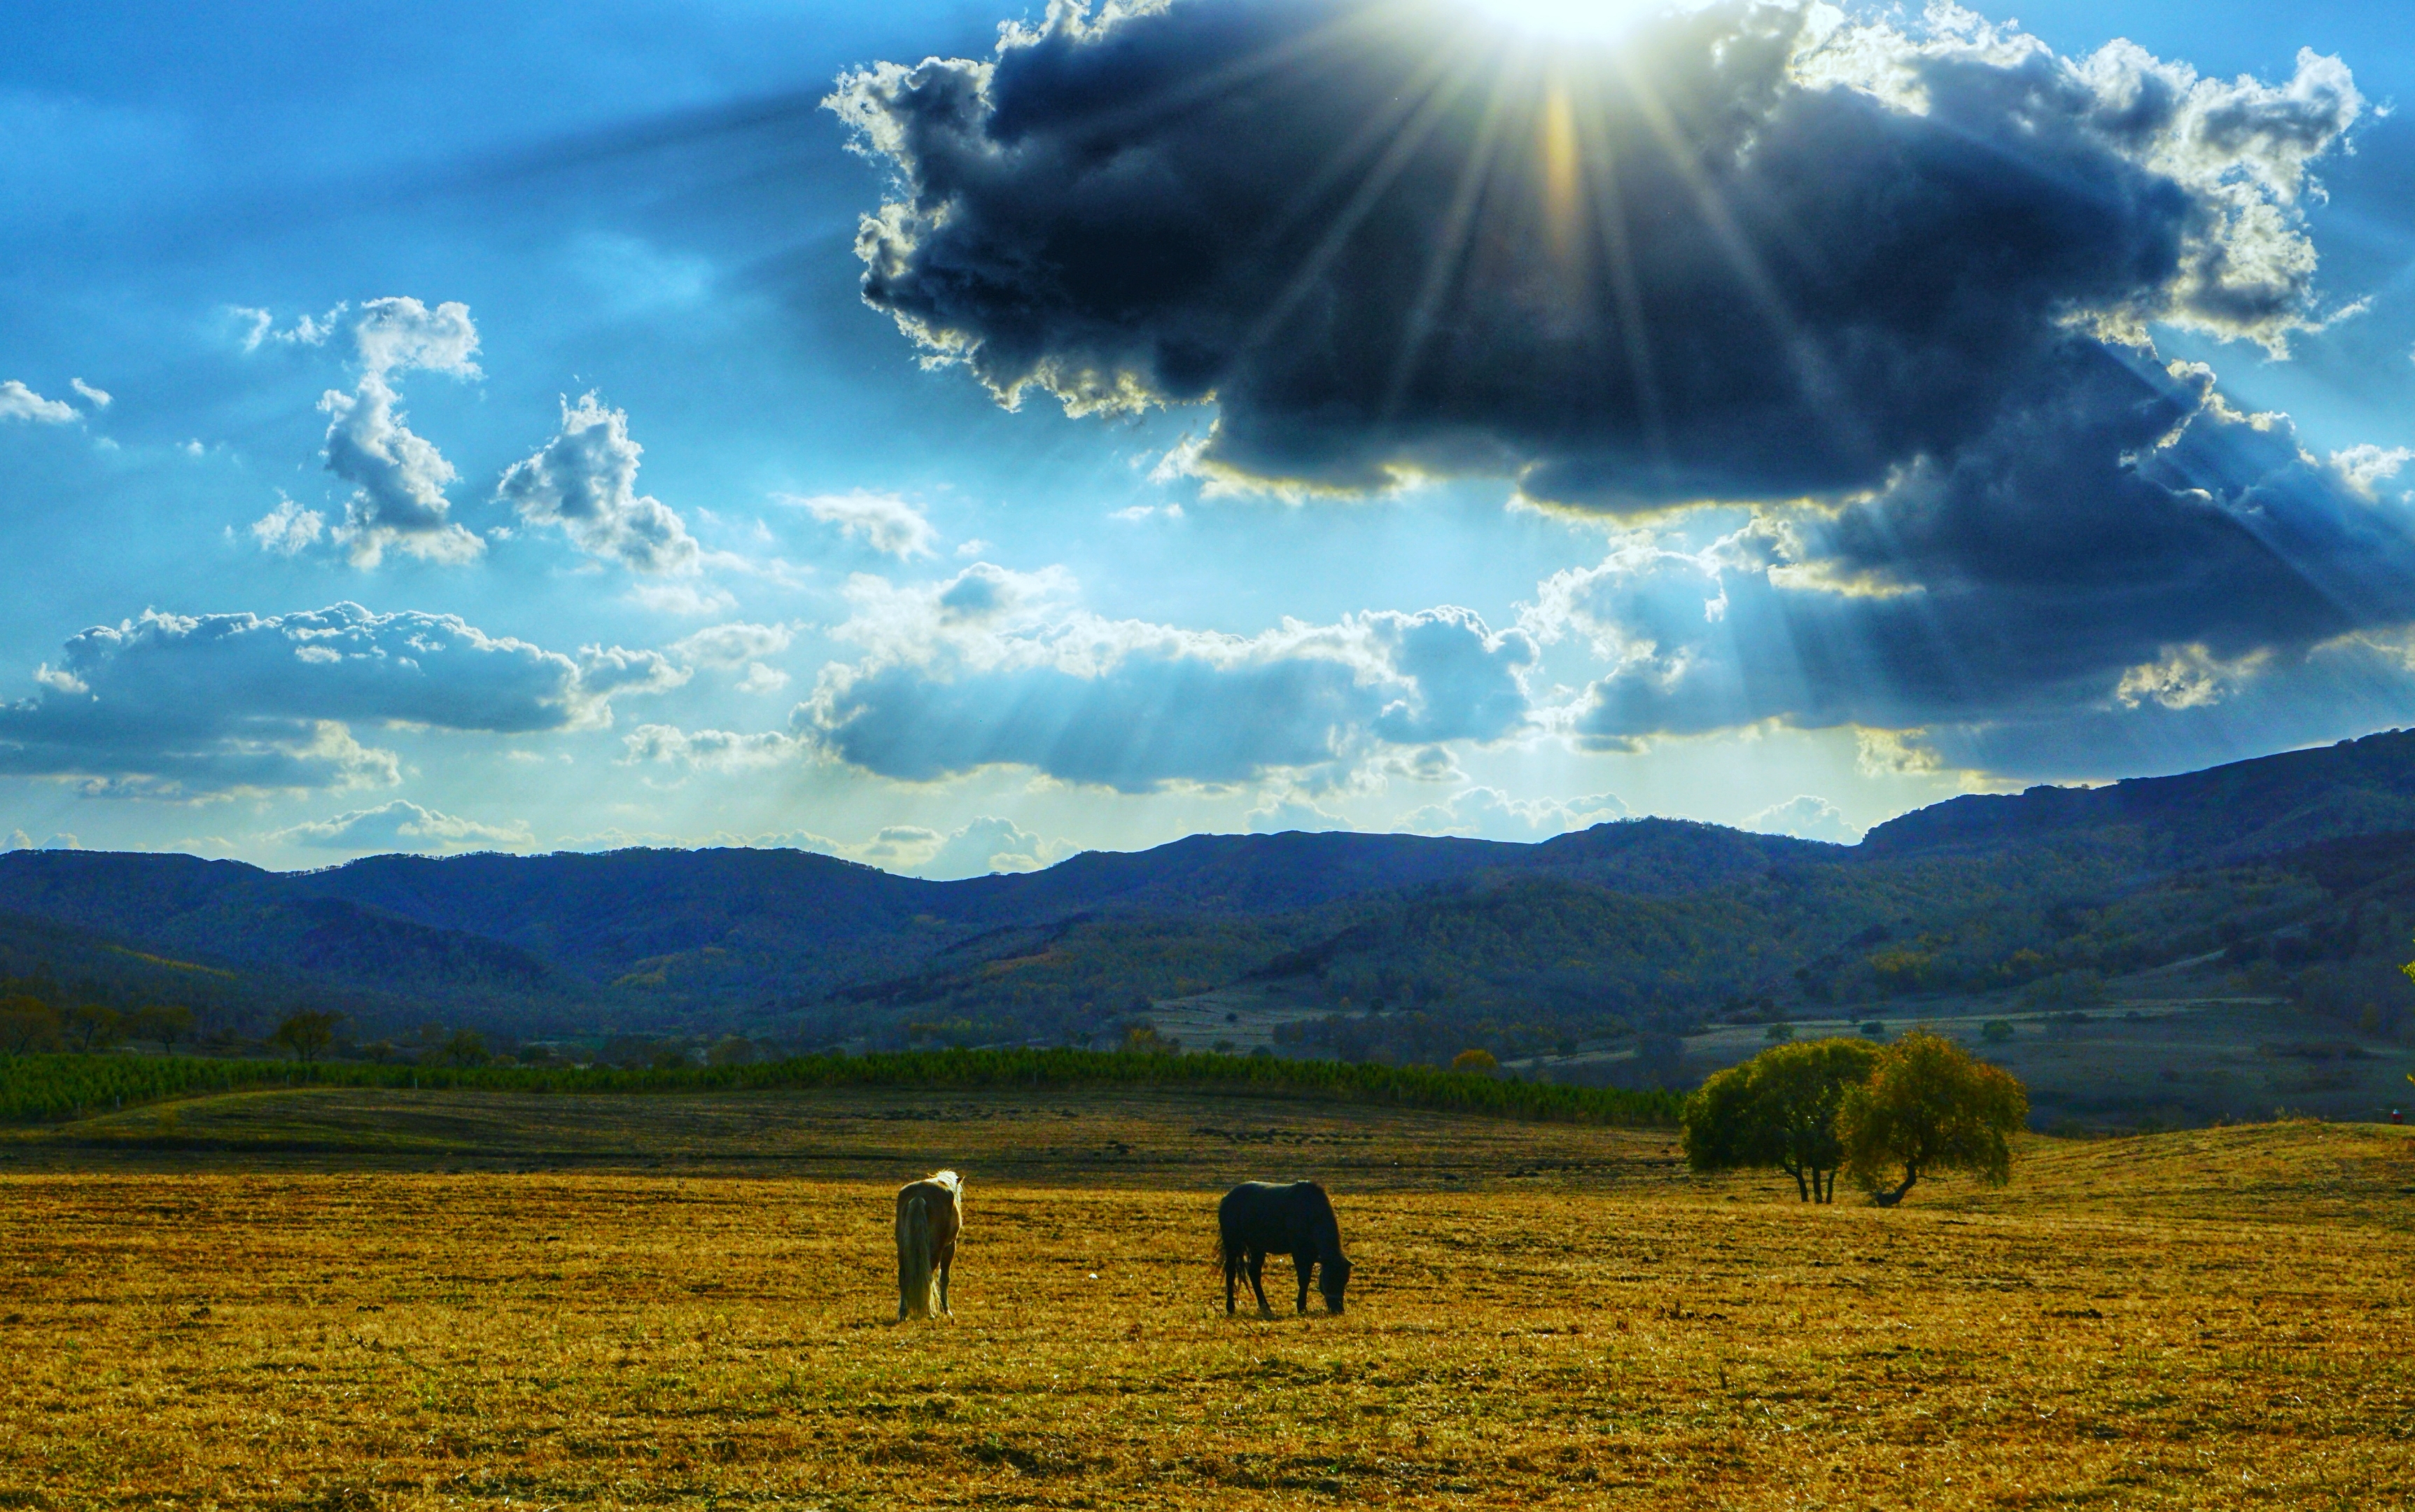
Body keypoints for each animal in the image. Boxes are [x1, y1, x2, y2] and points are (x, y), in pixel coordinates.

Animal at [898, 1164, 961, 1314]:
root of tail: (919, 1196)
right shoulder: (950, 1247)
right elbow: (944, 1278)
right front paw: (945, 1309)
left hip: (902, 1247)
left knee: (903, 1275)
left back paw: (903, 1312)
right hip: (936, 1249)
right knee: (929, 1275)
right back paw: (929, 1312)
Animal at [1217, 1173, 1352, 1314]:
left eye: (1345, 1280)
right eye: (1330, 1278)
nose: (1338, 1309)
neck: (1310, 1212)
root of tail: (1227, 1198)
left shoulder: (1312, 1255)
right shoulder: (1299, 1252)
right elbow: (1304, 1278)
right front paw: (1301, 1307)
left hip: (1257, 1248)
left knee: (1254, 1273)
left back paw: (1265, 1306)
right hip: (1233, 1244)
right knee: (1231, 1271)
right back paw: (1231, 1307)